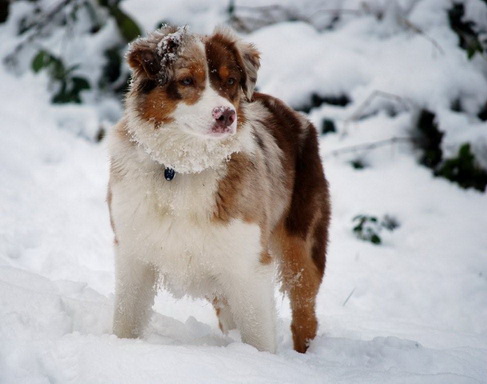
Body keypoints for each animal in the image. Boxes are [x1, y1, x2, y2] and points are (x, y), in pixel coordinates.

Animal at [108, 25, 332, 352]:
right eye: (187, 80)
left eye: (230, 81)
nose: (227, 115)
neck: (183, 169)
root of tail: (294, 114)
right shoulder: (133, 253)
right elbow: (126, 321)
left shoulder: (248, 264)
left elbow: (259, 339)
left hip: (303, 244)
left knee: (305, 315)